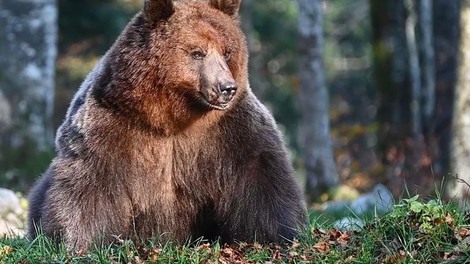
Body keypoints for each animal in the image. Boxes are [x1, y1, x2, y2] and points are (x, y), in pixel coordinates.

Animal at [29, 0, 308, 252]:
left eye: (227, 51)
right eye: (197, 52)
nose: (226, 87)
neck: (172, 118)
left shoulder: (231, 131)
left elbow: (261, 177)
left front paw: (280, 236)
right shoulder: (110, 125)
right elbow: (90, 185)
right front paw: (79, 243)